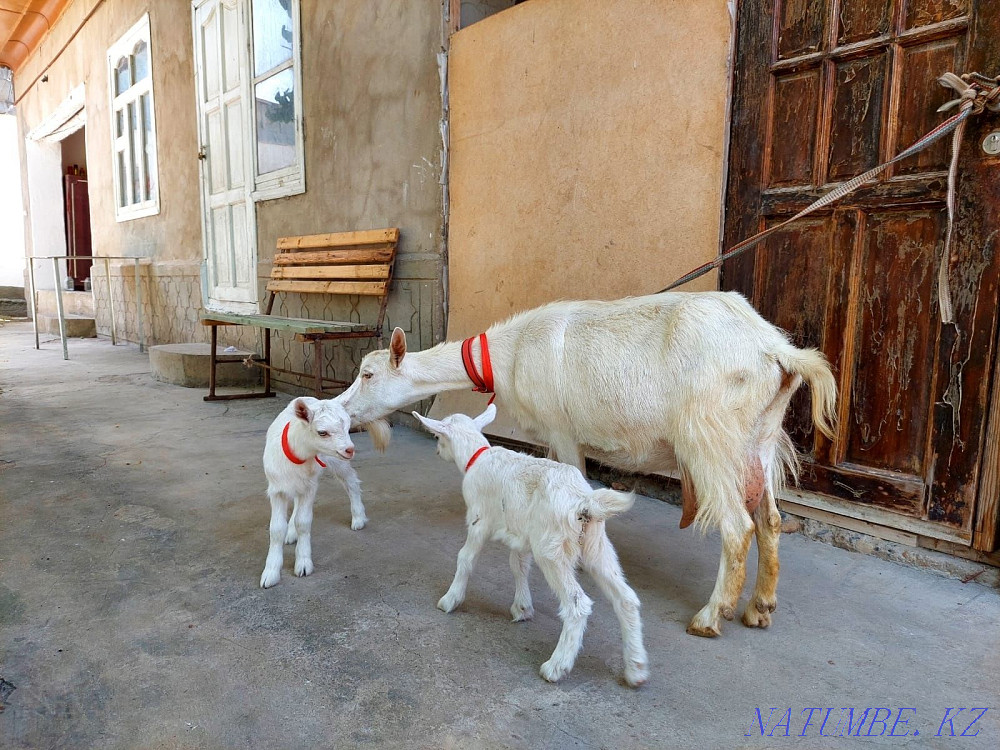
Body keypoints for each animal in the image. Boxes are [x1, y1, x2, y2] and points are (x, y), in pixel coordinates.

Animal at [260, 396, 367, 589]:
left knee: (351, 482)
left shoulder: (309, 488)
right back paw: (291, 533)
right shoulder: (277, 489)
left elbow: (303, 522)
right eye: (322, 432)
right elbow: (276, 529)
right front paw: (270, 573)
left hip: (336, 460)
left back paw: (358, 518)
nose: (350, 449)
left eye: (348, 427)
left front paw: (303, 564)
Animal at [340, 291, 838, 636]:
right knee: (769, 520)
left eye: (368, 374)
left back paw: (711, 616)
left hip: (710, 435)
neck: (510, 354)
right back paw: (759, 608)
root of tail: (775, 349)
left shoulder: (563, 430)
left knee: (738, 525)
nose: (343, 412)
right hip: (761, 436)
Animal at [414, 403, 648, 686]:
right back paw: (636, 668)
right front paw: (522, 608)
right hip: (597, 546)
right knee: (626, 599)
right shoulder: (520, 533)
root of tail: (583, 501)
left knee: (577, 605)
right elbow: (518, 566)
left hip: (551, 550)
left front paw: (450, 599)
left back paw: (556, 666)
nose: (437, 451)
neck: (477, 456)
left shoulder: (479, 521)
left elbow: (465, 558)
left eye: (438, 437)